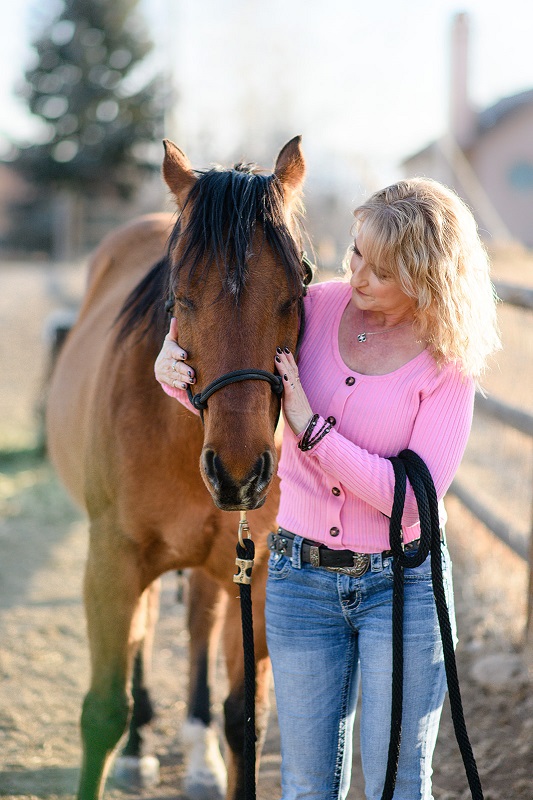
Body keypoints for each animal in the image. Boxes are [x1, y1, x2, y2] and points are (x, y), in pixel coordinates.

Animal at [46, 139, 308, 800]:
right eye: (181, 291)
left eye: (296, 288)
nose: (238, 472)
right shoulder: (110, 563)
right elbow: (102, 711)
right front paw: (128, 738)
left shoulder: (255, 576)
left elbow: (245, 718)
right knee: (142, 634)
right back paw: (143, 747)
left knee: (196, 628)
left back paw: (197, 752)